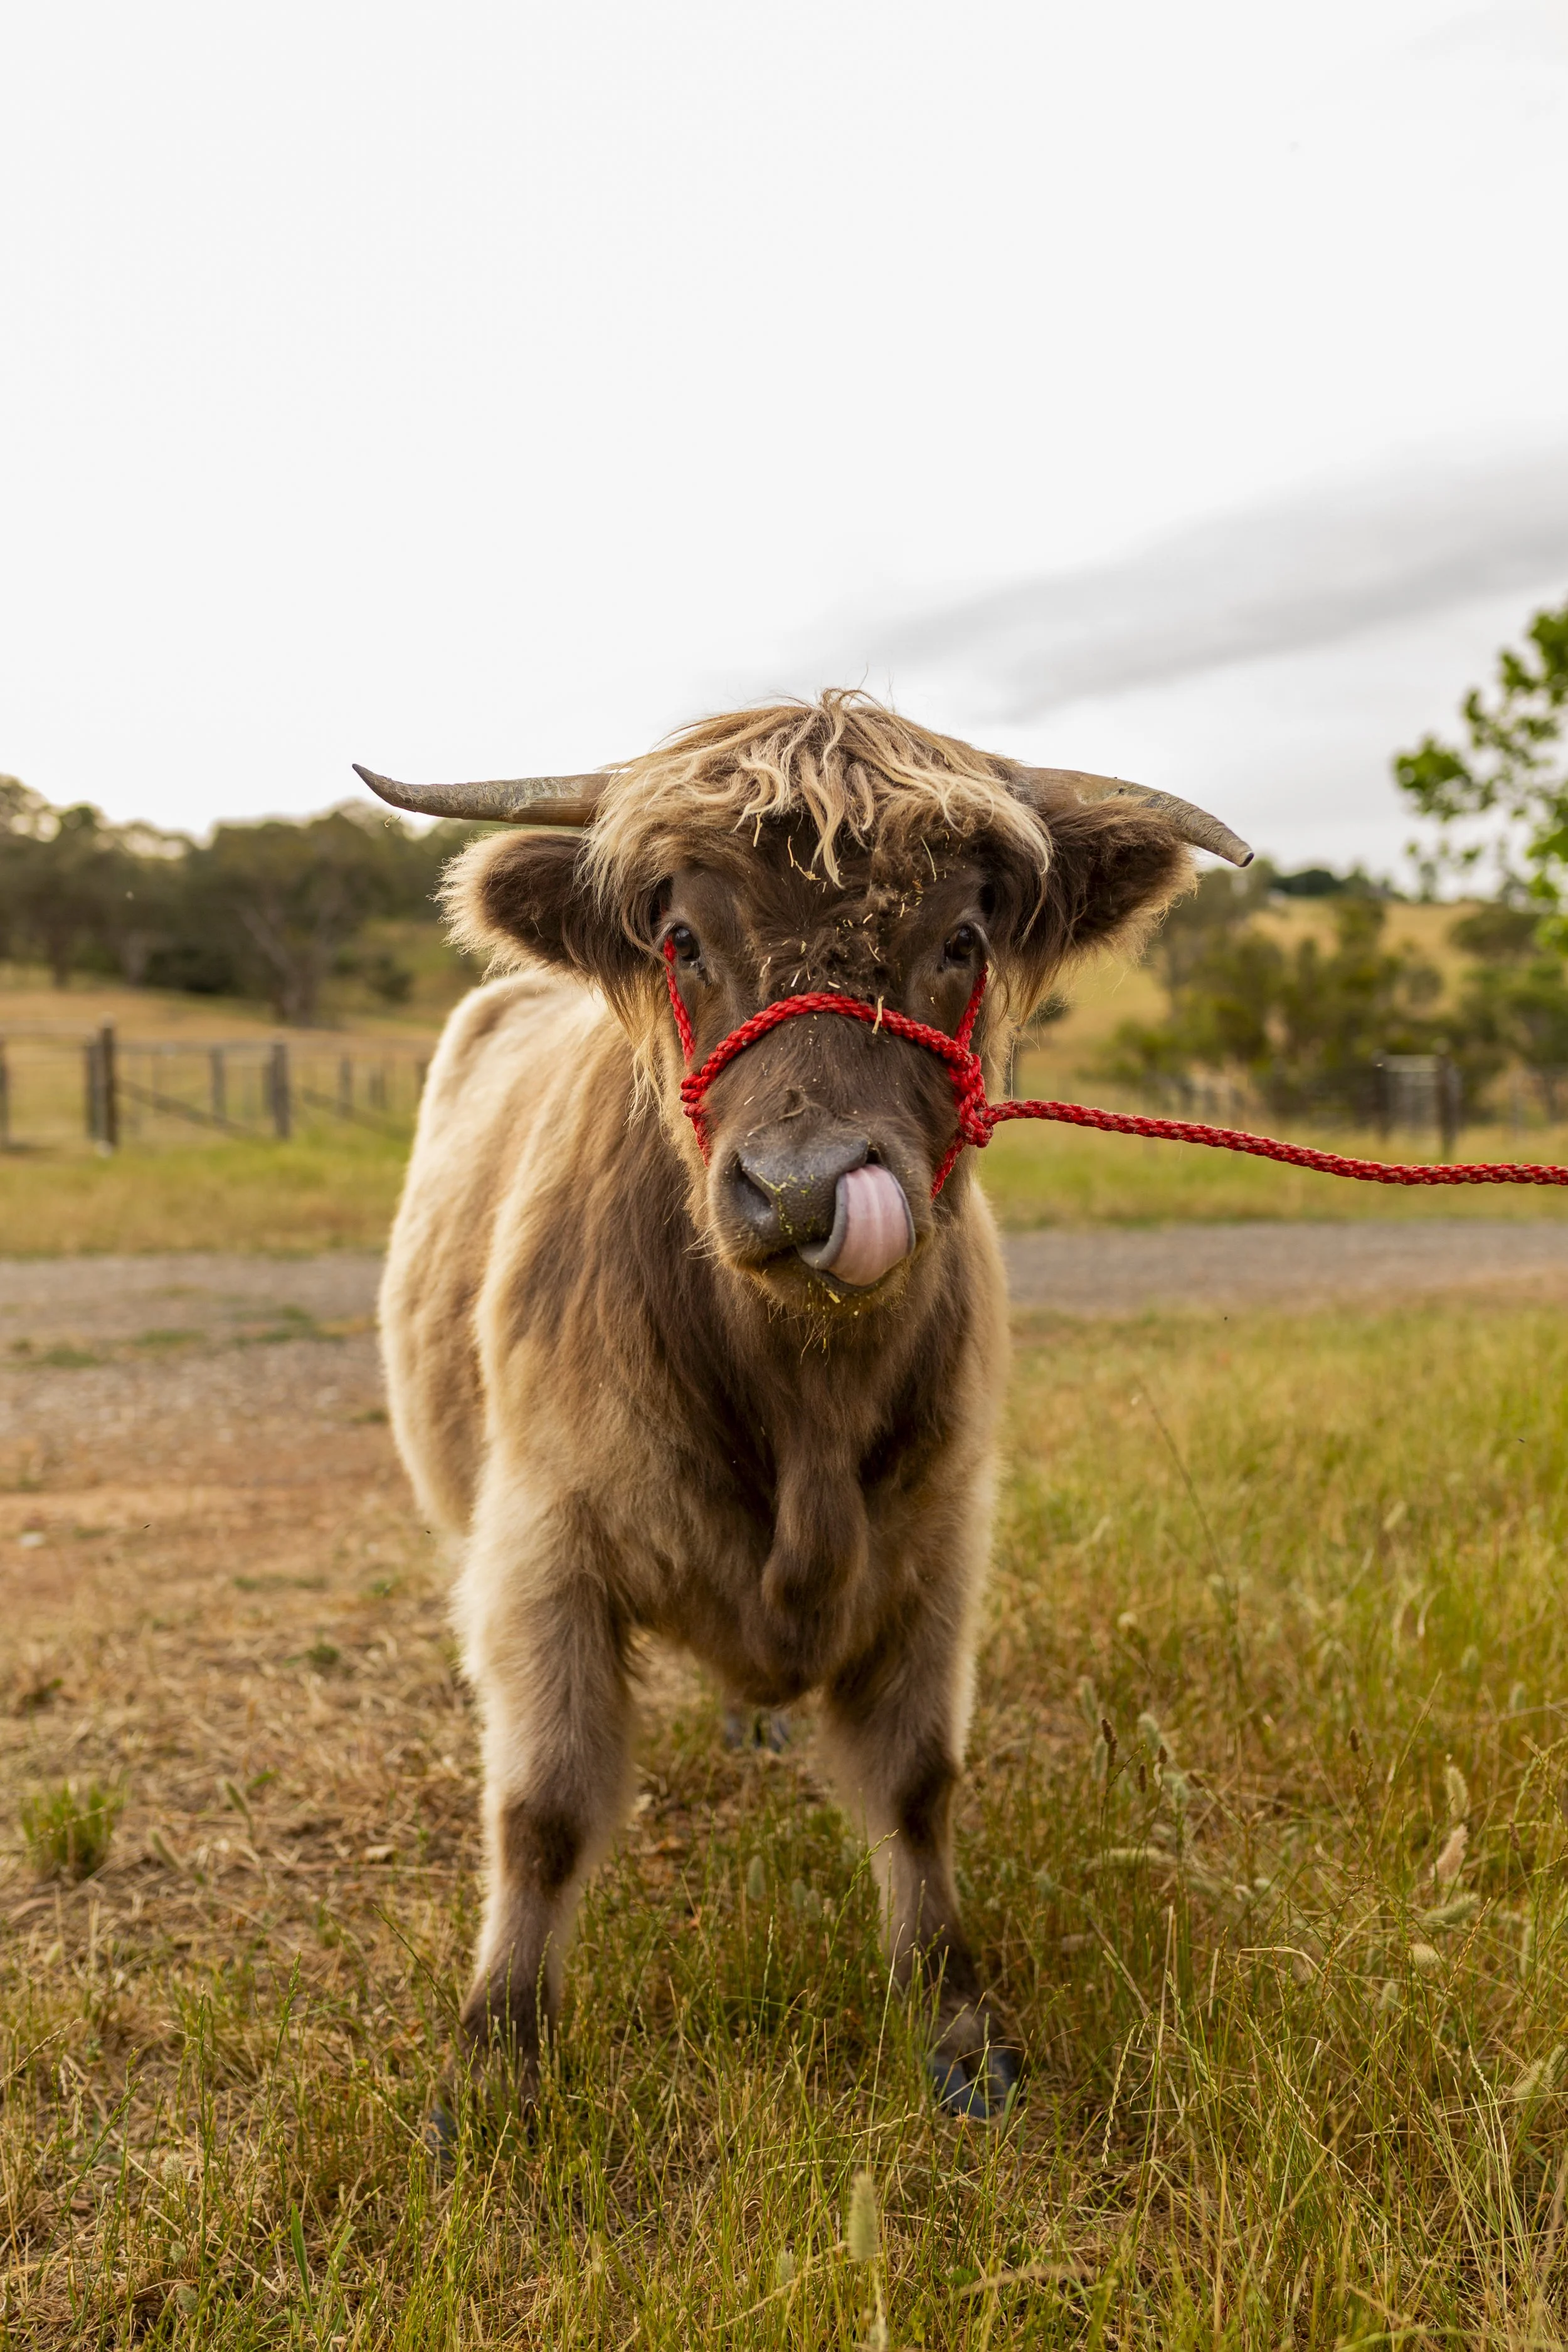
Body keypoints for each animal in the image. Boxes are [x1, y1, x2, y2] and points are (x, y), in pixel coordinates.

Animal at [357, 693, 1250, 2120]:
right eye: (682, 939)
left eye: (958, 941)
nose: (801, 1191)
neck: (802, 1407)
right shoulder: (540, 1546)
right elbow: (543, 1809)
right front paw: (494, 2060)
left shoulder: (938, 1542)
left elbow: (916, 1786)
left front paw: (954, 2024)